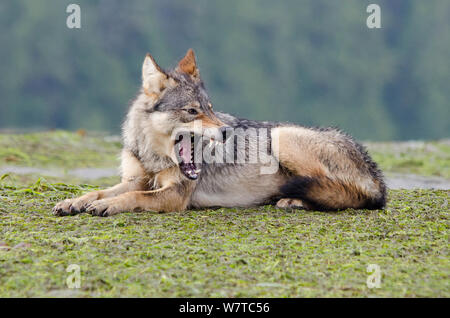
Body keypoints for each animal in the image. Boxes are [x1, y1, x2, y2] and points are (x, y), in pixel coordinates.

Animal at [51, 49, 384, 217]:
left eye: (210, 108)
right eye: (192, 111)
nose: (226, 131)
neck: (154, 156)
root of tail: (377, 175)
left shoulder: (174, 195)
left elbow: (133, 196)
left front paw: (106, 206)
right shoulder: (135, 178)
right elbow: (103, 190)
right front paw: (76, 201)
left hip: (282, 136)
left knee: (344, 195)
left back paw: (294, 200)